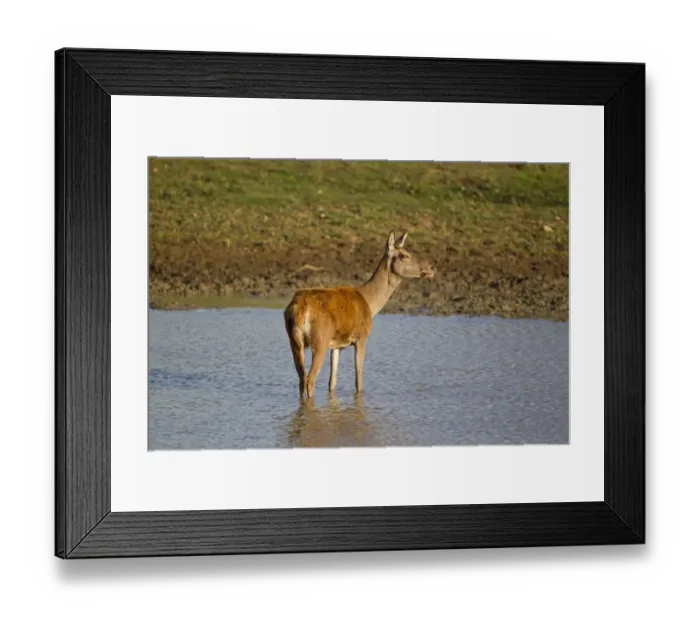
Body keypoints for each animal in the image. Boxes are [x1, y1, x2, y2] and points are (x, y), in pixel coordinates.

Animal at [283, 231, 436, 400]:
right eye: (404, 255)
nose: (431, 267)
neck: (369, 303)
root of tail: (300, 308)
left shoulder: (337, 345)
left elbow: (332, 383)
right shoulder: (361, 338)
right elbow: (359, 381)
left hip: (294, 340)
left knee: (301, 378)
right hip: (320, 339)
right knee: (310, 379)